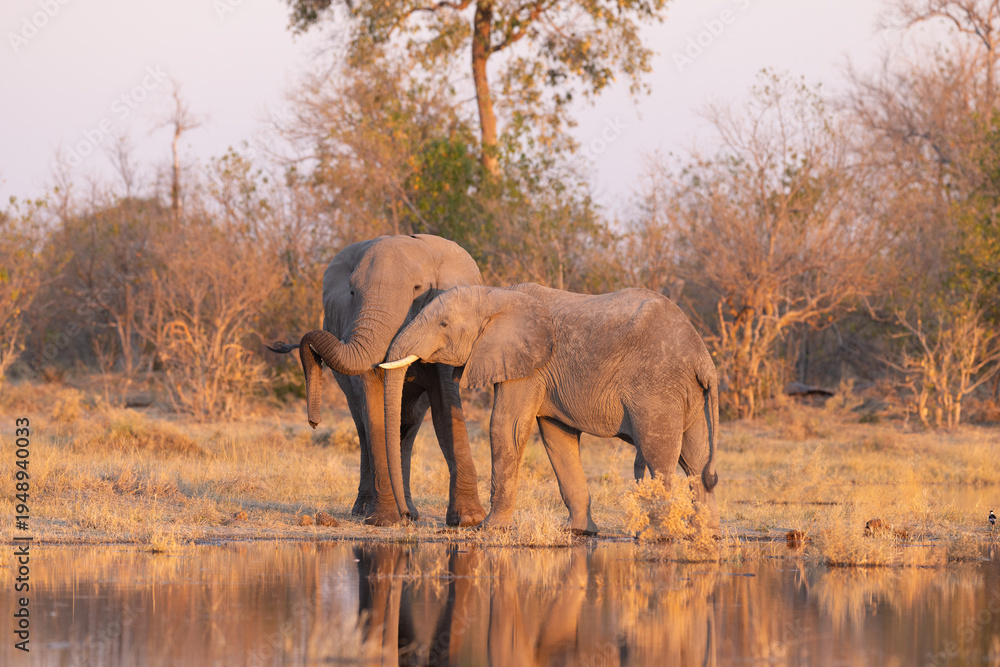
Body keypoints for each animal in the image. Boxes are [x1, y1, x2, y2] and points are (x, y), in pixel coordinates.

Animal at [268, 234, 486, 527]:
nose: (313, 421)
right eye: (352, 292)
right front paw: (385, 520)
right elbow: (372, 404)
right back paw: (368, 510)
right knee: (364, 427)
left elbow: (445, 406)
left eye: (418, 288)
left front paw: (468, 520)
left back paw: (409, 511)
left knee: (408, 426)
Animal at [379, 283, 719, 535]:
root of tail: (703, 357)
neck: (497, 295)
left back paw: (659, 535)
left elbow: (506, 427)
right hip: (689, 395)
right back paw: (705, 534)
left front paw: (491, 529)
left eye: (444, 324)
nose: (408, 516)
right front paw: (578, 532)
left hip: (657, 388)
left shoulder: (529, 368)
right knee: (695, 460)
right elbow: (558, 439)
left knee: (659, 457)